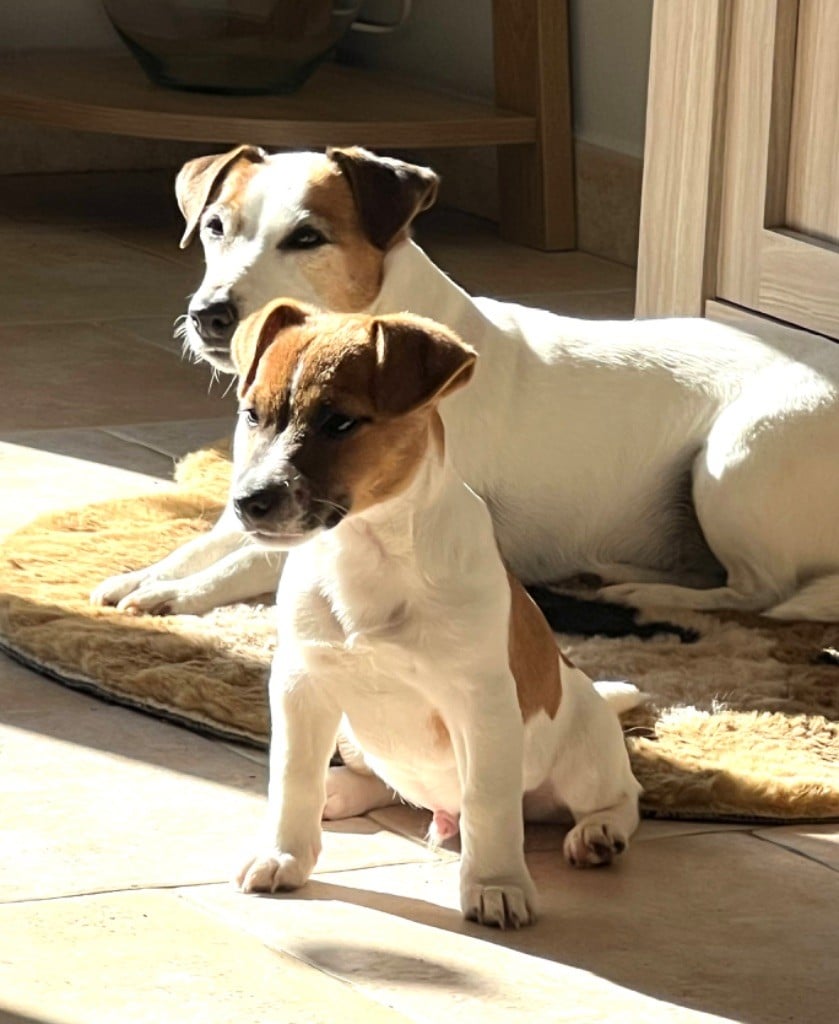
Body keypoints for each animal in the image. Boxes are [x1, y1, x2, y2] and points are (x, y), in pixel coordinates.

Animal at [93, 144, 839, 622]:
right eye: (214, 227)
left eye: (306, 238)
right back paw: (611, 573)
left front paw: (171, 597)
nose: (209, 314)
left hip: (735, 457)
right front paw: (144, 574)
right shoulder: (255, 499)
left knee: (760, 592)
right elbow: (202, 542)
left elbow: (245, 560)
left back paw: (649, 598)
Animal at [226, 301, 639, 929]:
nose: (249, 502)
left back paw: (597, 835)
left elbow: (489, 803)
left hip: (586, 760)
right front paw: (284, 855)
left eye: (339, 423)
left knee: (621, 798)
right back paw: (337, 794)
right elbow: (292, 777)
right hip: (352, 734)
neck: (366, 551)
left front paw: (495, 886)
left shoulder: (482, 703)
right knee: (382, 780)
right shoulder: (302, 684)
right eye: (252, 415)